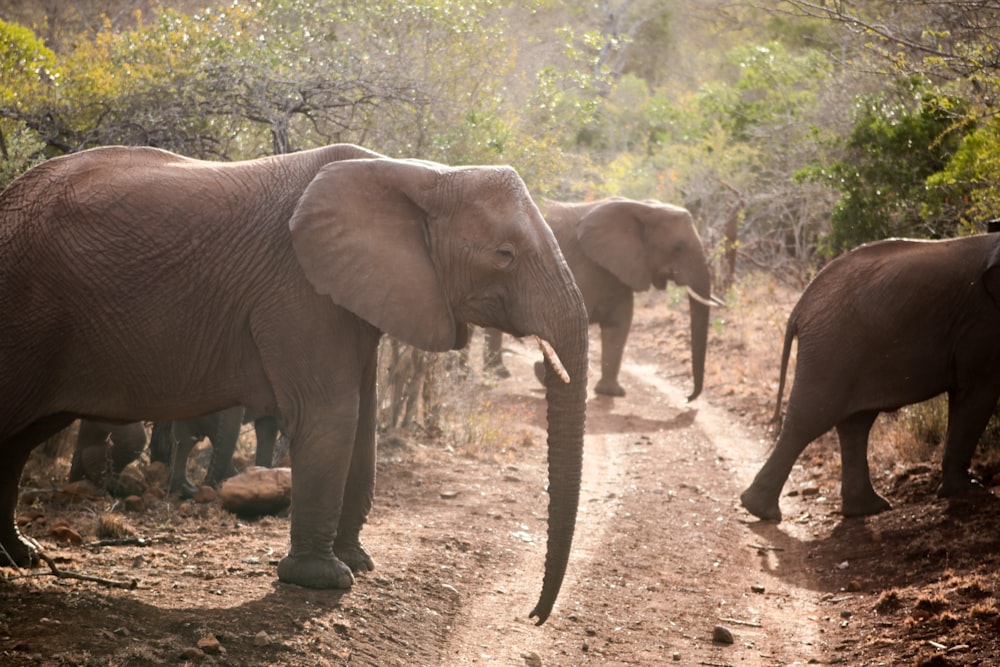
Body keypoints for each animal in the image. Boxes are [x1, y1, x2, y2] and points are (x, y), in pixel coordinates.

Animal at [0, 145, 588, 628]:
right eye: (505, 254)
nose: (533, 616)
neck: (420, 173)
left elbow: (363, 419)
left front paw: (356, 563)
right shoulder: (298, 290)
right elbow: (330, 416)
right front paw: (323, 579)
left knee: (18, 439)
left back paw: (22, 556)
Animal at [484, 196, 720, 400]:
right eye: (678, 248)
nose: (688, 398)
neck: (642, 207)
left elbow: (619, 327)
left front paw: (611, 392)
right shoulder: (580, 267)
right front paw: (546, 375)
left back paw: (497, 372)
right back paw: (498, 374)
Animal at [740, 235, 1000, 520]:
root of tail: (799, 308)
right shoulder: (983, 321)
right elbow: (979, 392)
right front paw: (970, 490)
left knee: (855, 423)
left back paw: (866, 509)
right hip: (832, 346)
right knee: (811, 418)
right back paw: (762, 511)